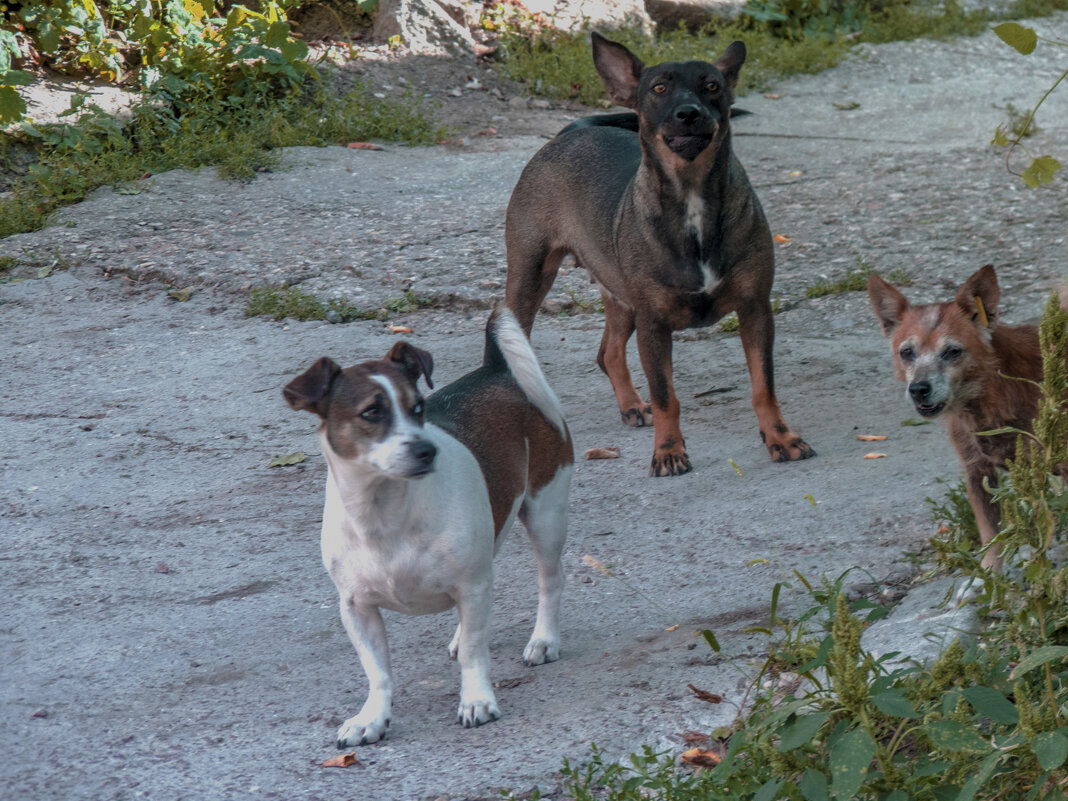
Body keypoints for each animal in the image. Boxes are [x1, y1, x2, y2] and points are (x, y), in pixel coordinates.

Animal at [279, 309, 572, 751]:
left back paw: (544, 640)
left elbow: (473, 654)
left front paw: (477, 700)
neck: (384, 514)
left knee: (549, 581)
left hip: (546, 514)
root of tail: (496, 370)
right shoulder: (356, 607)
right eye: (371, 412)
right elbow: (378, 671)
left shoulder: (472, 583)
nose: (425, 450)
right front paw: (372, 718)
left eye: (418, 408)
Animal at [504, 32, 811, 476]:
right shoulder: (654, 324)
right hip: (530, 277)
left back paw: (632, 405)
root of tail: (565, 134)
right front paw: (668, 452)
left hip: (621, 297)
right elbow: (666, 395)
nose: (688, 113)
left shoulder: (755, 309)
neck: (691, 198)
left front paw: (780, 438)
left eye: (712, 85)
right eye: (659, 88)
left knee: (608, 352)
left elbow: (763, 386)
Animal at [871, 267, 1063, 572]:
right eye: (906, 352)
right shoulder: (977, 472)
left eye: (952, 351)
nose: (918, 389)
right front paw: (987, 577)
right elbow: (991, 536)